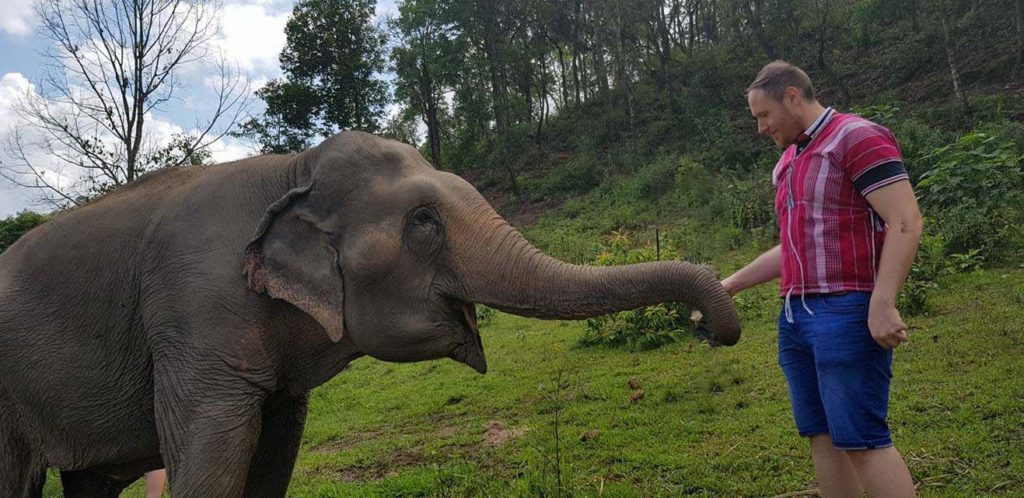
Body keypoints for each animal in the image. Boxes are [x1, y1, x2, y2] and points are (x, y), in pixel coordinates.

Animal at [0, 132, 741, 498]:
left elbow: (274, 454)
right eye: (422, 222)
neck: (288, 172)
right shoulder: (192, 312)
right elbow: (211, 458)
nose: (708, 326)